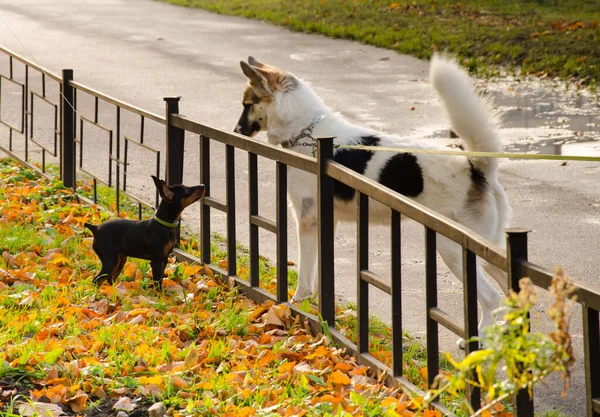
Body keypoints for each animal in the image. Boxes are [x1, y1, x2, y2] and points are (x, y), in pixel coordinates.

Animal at [234, 54, 510, 334]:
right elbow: (319, 273)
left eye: (247, 105)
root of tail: (475, 167)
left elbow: (304, 275)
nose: (235, 131)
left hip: (454, 250)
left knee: (491, 299)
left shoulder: (307, 221)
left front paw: (297, 304)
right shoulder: (324, 222)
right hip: (484, 251)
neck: (307, 130)